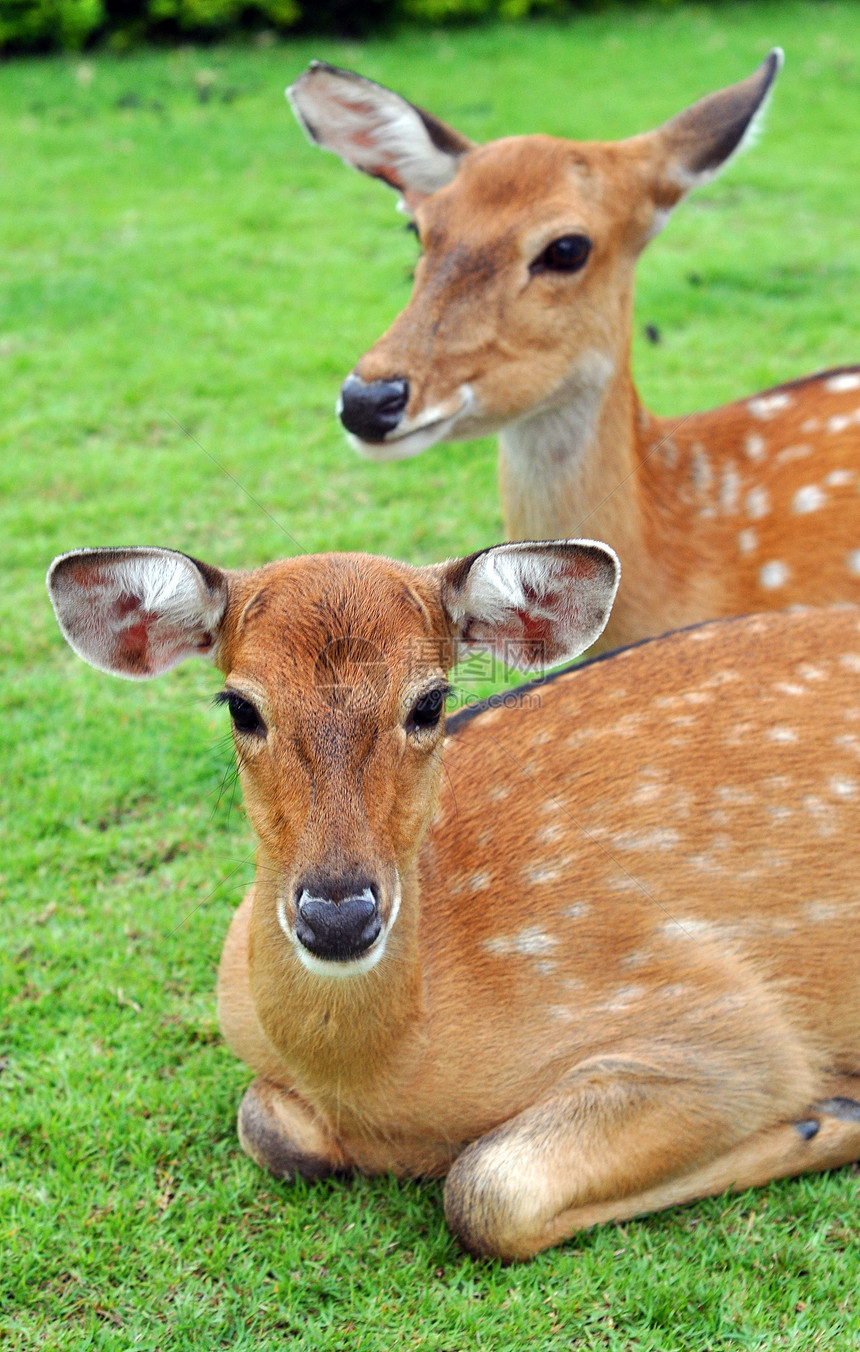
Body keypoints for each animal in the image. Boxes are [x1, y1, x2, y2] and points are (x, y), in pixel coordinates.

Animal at [46, 543, 860, 1260]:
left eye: (431, 701)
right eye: (240, 706)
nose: (338, 914)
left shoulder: (722, 1022)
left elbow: (485, 1189)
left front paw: (827, 1116)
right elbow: (266, 1128)